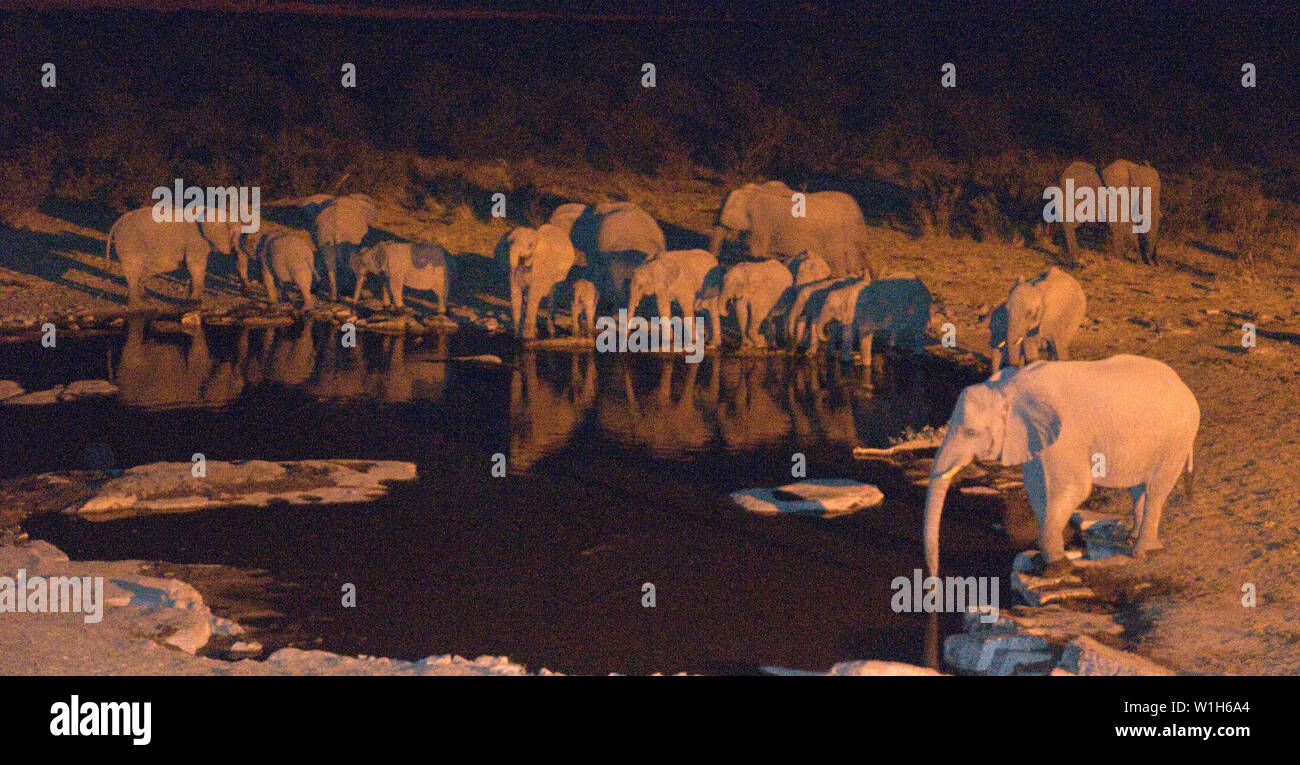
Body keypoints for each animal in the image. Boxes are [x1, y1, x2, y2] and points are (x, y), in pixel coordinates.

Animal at [105, 208, 243, 309]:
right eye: (235, 234)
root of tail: (118, 221)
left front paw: (192, 302)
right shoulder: (196, 241)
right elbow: (195, 266)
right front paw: (194, 305)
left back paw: (145, 300)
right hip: (129, 242)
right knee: (133, 269)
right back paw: (138, 305)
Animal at [925, 356, 1196, 577]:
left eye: (971, 432)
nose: (934, 577)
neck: (1010, 387)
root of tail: (1183, 386)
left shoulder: (1065, 437)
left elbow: (1074, 489)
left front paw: (1055, 567)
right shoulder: (1034, 437)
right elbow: (1037, 488)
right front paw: (1040, 562)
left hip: (1177, 438)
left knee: (1155, 490)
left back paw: (1144, 552)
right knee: (1138, 488)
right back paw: (1131, 539)